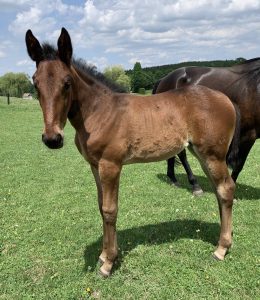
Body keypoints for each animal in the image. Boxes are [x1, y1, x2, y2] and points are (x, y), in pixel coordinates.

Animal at [25, 28, 236, 276]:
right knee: (219, 190)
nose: (52, 139)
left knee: (226, 189)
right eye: (35, 83)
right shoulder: (95, 166)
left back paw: (221, 248)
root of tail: (225, 99)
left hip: (213, 155)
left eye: (67, 83)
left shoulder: (111, 165)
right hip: (201, 154)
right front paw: (103, 254)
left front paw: (108, 262)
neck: (99, 112)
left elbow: (110, 210)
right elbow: (100, 207)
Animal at [152, 59, 260, 193]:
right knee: (182, 155)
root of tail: (164, 79)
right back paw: (194, 184)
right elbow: (239, 165)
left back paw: (173, 178)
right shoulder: (249, 135)